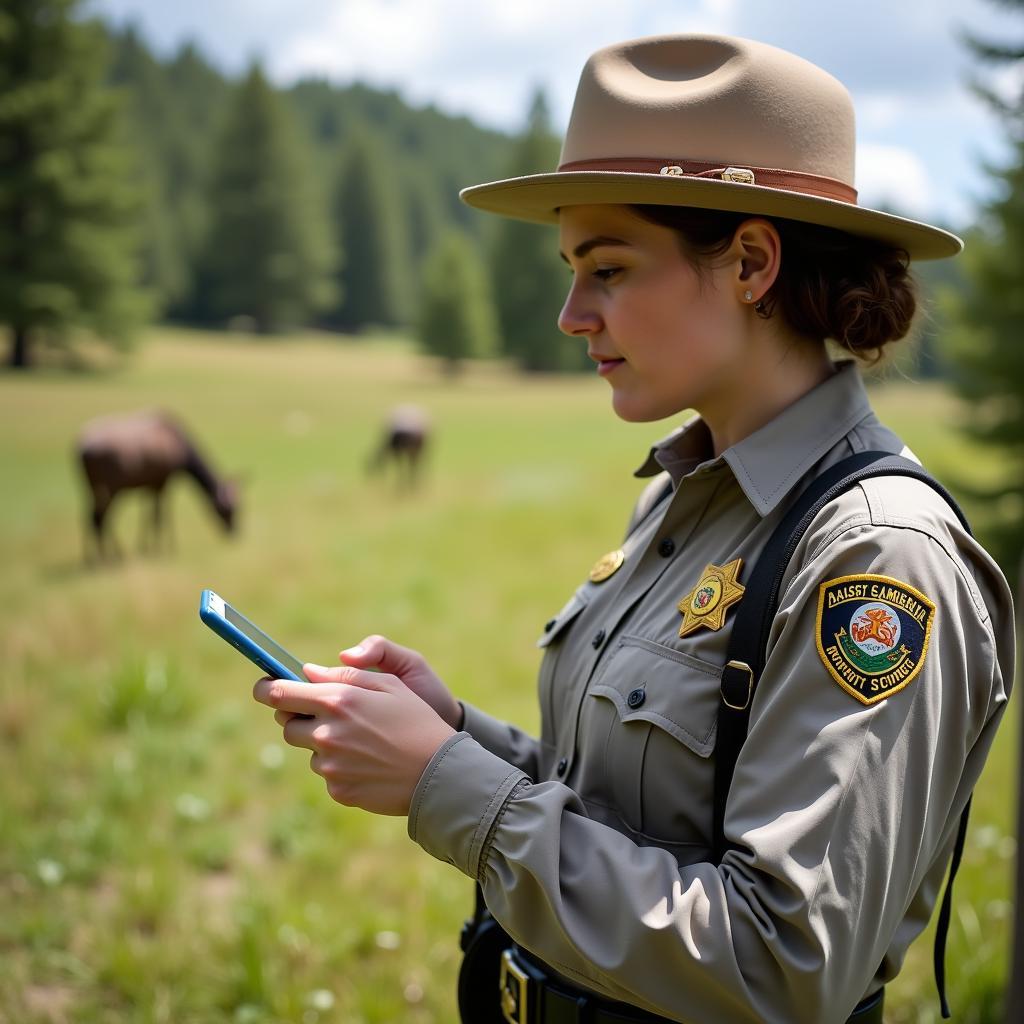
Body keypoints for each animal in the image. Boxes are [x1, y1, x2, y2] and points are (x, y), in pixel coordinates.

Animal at [75, 411, 239, 565]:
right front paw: (166, 548)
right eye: (228, 510)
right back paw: (111, 556)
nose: (234, 532)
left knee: (93, 517)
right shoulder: (163, 481)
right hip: (112, 487)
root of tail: (81, 447)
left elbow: (147, 515)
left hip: (92, 487)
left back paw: (95, 558)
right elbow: (161, 515)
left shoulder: (150, 484)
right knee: (101, 517)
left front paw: (144, 547)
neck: (178, 443)